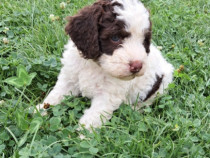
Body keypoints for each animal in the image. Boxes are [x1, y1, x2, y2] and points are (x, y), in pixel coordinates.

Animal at [36, 0, 174, 130]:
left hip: (162, 84)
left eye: (144, 41)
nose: (137, 66)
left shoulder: (107, 96)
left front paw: (83, 135)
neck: (96, 65)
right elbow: (56, 94)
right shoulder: (69, 78)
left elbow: (93, 117)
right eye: (115, 38)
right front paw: (40, 109)